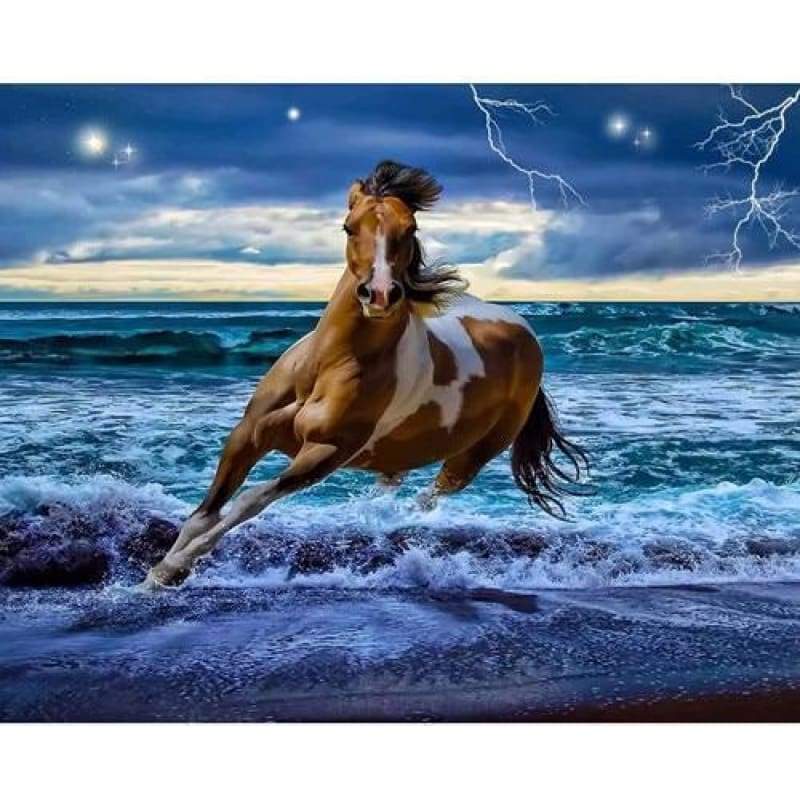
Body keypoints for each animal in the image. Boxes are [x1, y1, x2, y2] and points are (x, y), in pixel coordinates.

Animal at [142, 160, 588, 588]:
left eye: (410, 229)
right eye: (349, 226)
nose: (380, 294)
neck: (325, 367)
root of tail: (525, 333)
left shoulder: (325, 453)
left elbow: (250, 500)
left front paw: (170, 571)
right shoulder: (248, 434)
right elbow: (204, 513)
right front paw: (153, 576)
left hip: (472, 455)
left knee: (429, 496)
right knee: (394, 480)